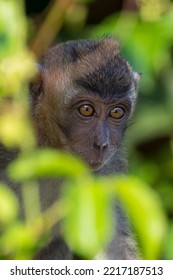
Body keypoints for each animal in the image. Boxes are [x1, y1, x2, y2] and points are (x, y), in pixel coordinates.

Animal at [0, 37, 141, 260]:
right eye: (86, 109)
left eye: (117, 112)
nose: (102, 143)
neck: (51, 146)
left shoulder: (109, 165)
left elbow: (114, 246)